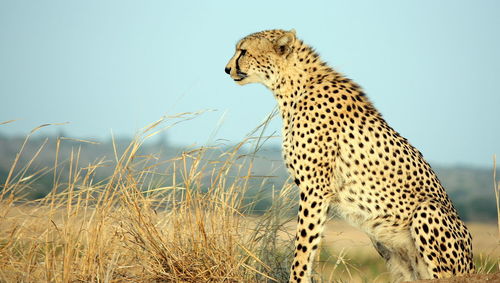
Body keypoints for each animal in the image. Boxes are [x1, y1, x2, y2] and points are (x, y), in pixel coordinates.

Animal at [225, 30, 474, 282]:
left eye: (243, 51)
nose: (227, 69)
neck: (292, 87)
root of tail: (472, 265)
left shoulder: (315, 189)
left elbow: (303, 245)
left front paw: (297, 277)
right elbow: (311, 243)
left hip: (427, 212)